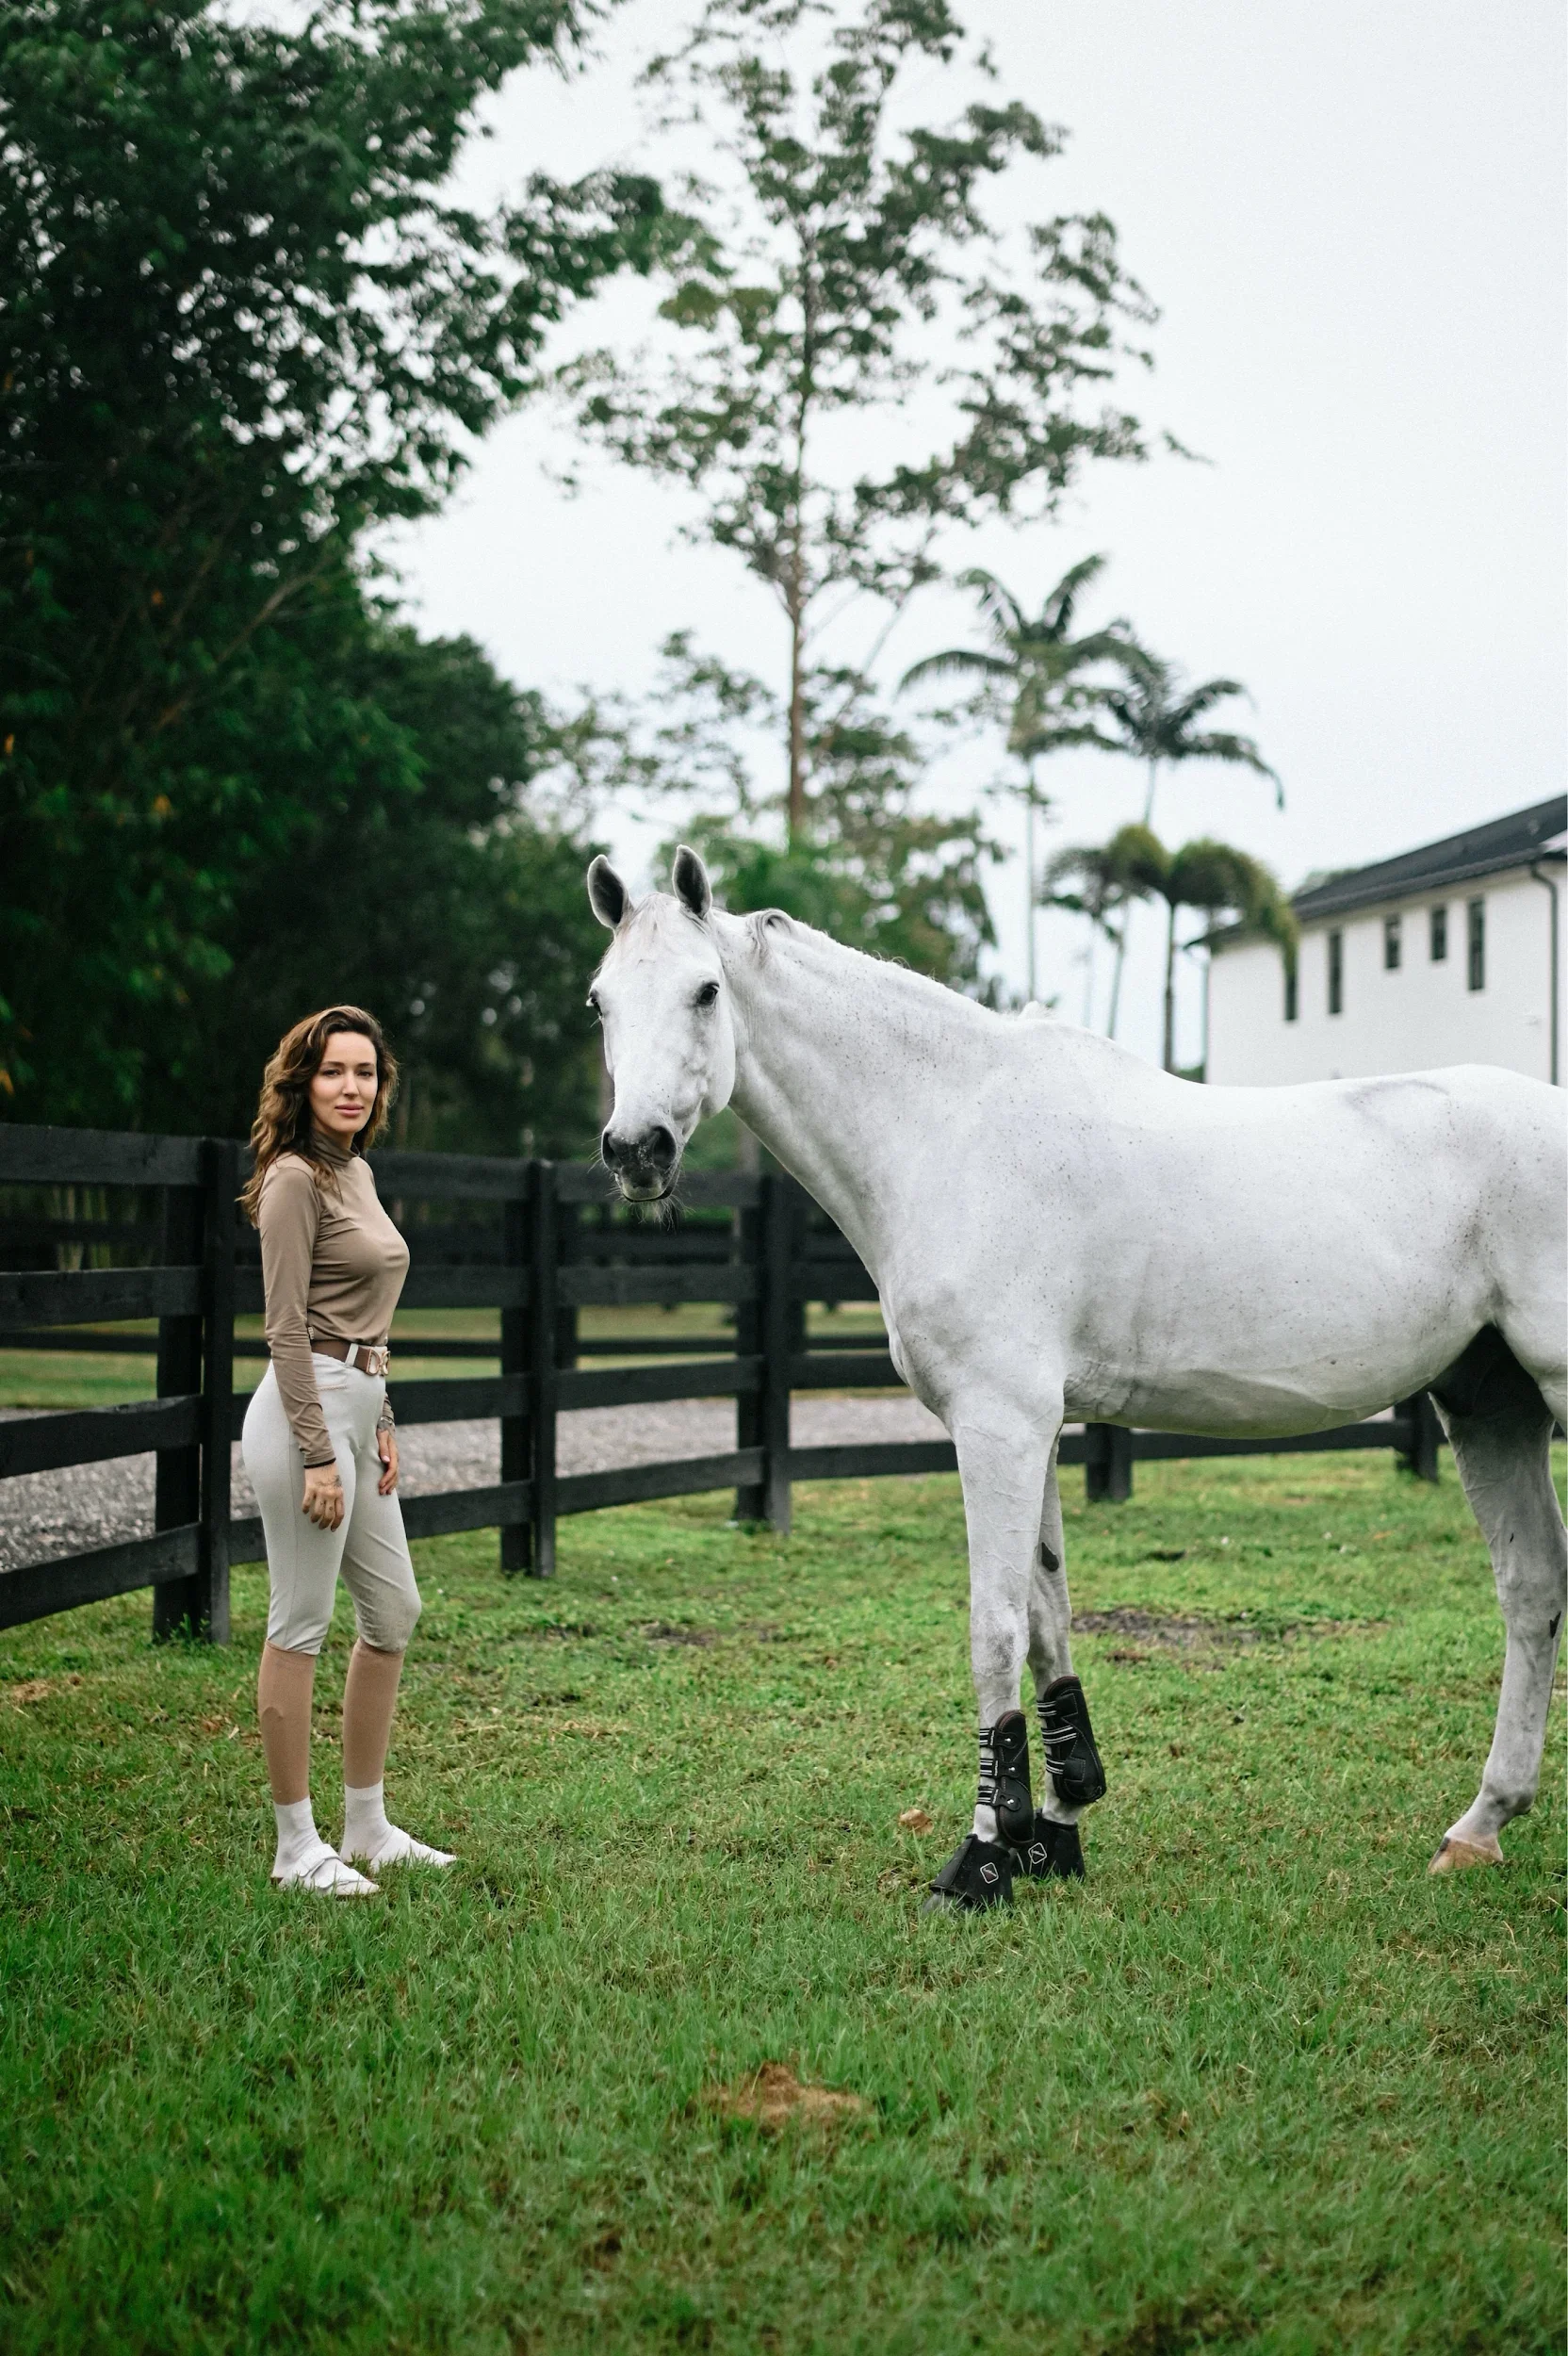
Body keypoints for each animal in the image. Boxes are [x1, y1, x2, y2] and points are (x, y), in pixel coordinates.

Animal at [585, 846, 1567, 1909]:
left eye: (705, 989)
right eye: (600, 1001)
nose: (635, 1151)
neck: (951, 1129)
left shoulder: (997, 1425)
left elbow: (995, 1628)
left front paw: (979, 1860)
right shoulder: (1036, 1427)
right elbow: (1049, 1619)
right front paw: (1050, 1828)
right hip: (1490, 1405)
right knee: (1532, 1589)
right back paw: (1479, 1825)